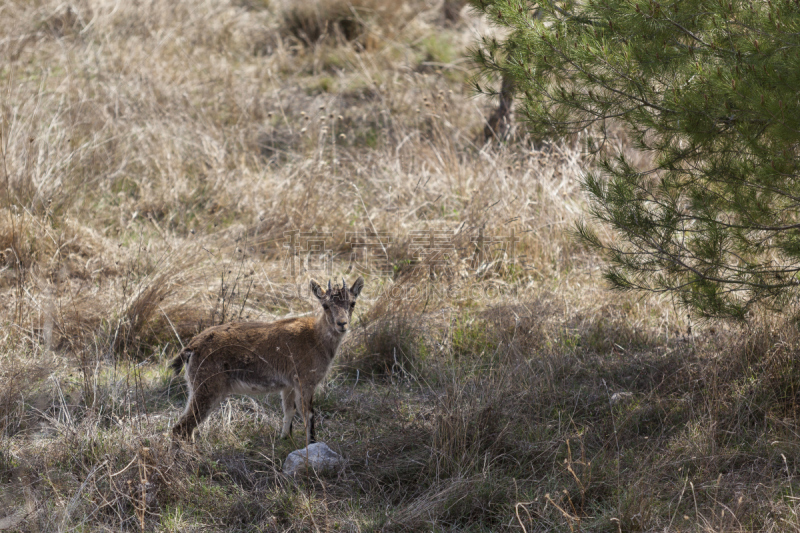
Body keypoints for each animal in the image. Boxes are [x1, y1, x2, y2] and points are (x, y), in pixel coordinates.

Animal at [173, 276, 368, 442]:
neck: (316, 338)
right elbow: (308, 413)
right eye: (325, 305)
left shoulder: (289, 384)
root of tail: (191, 348)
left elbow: (289, 410)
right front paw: (312, 444)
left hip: (197, 387)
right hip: (208, 387)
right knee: (182, 427)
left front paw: (285, 437)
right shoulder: (305, 381)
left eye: (352, 303)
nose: (342, 324)